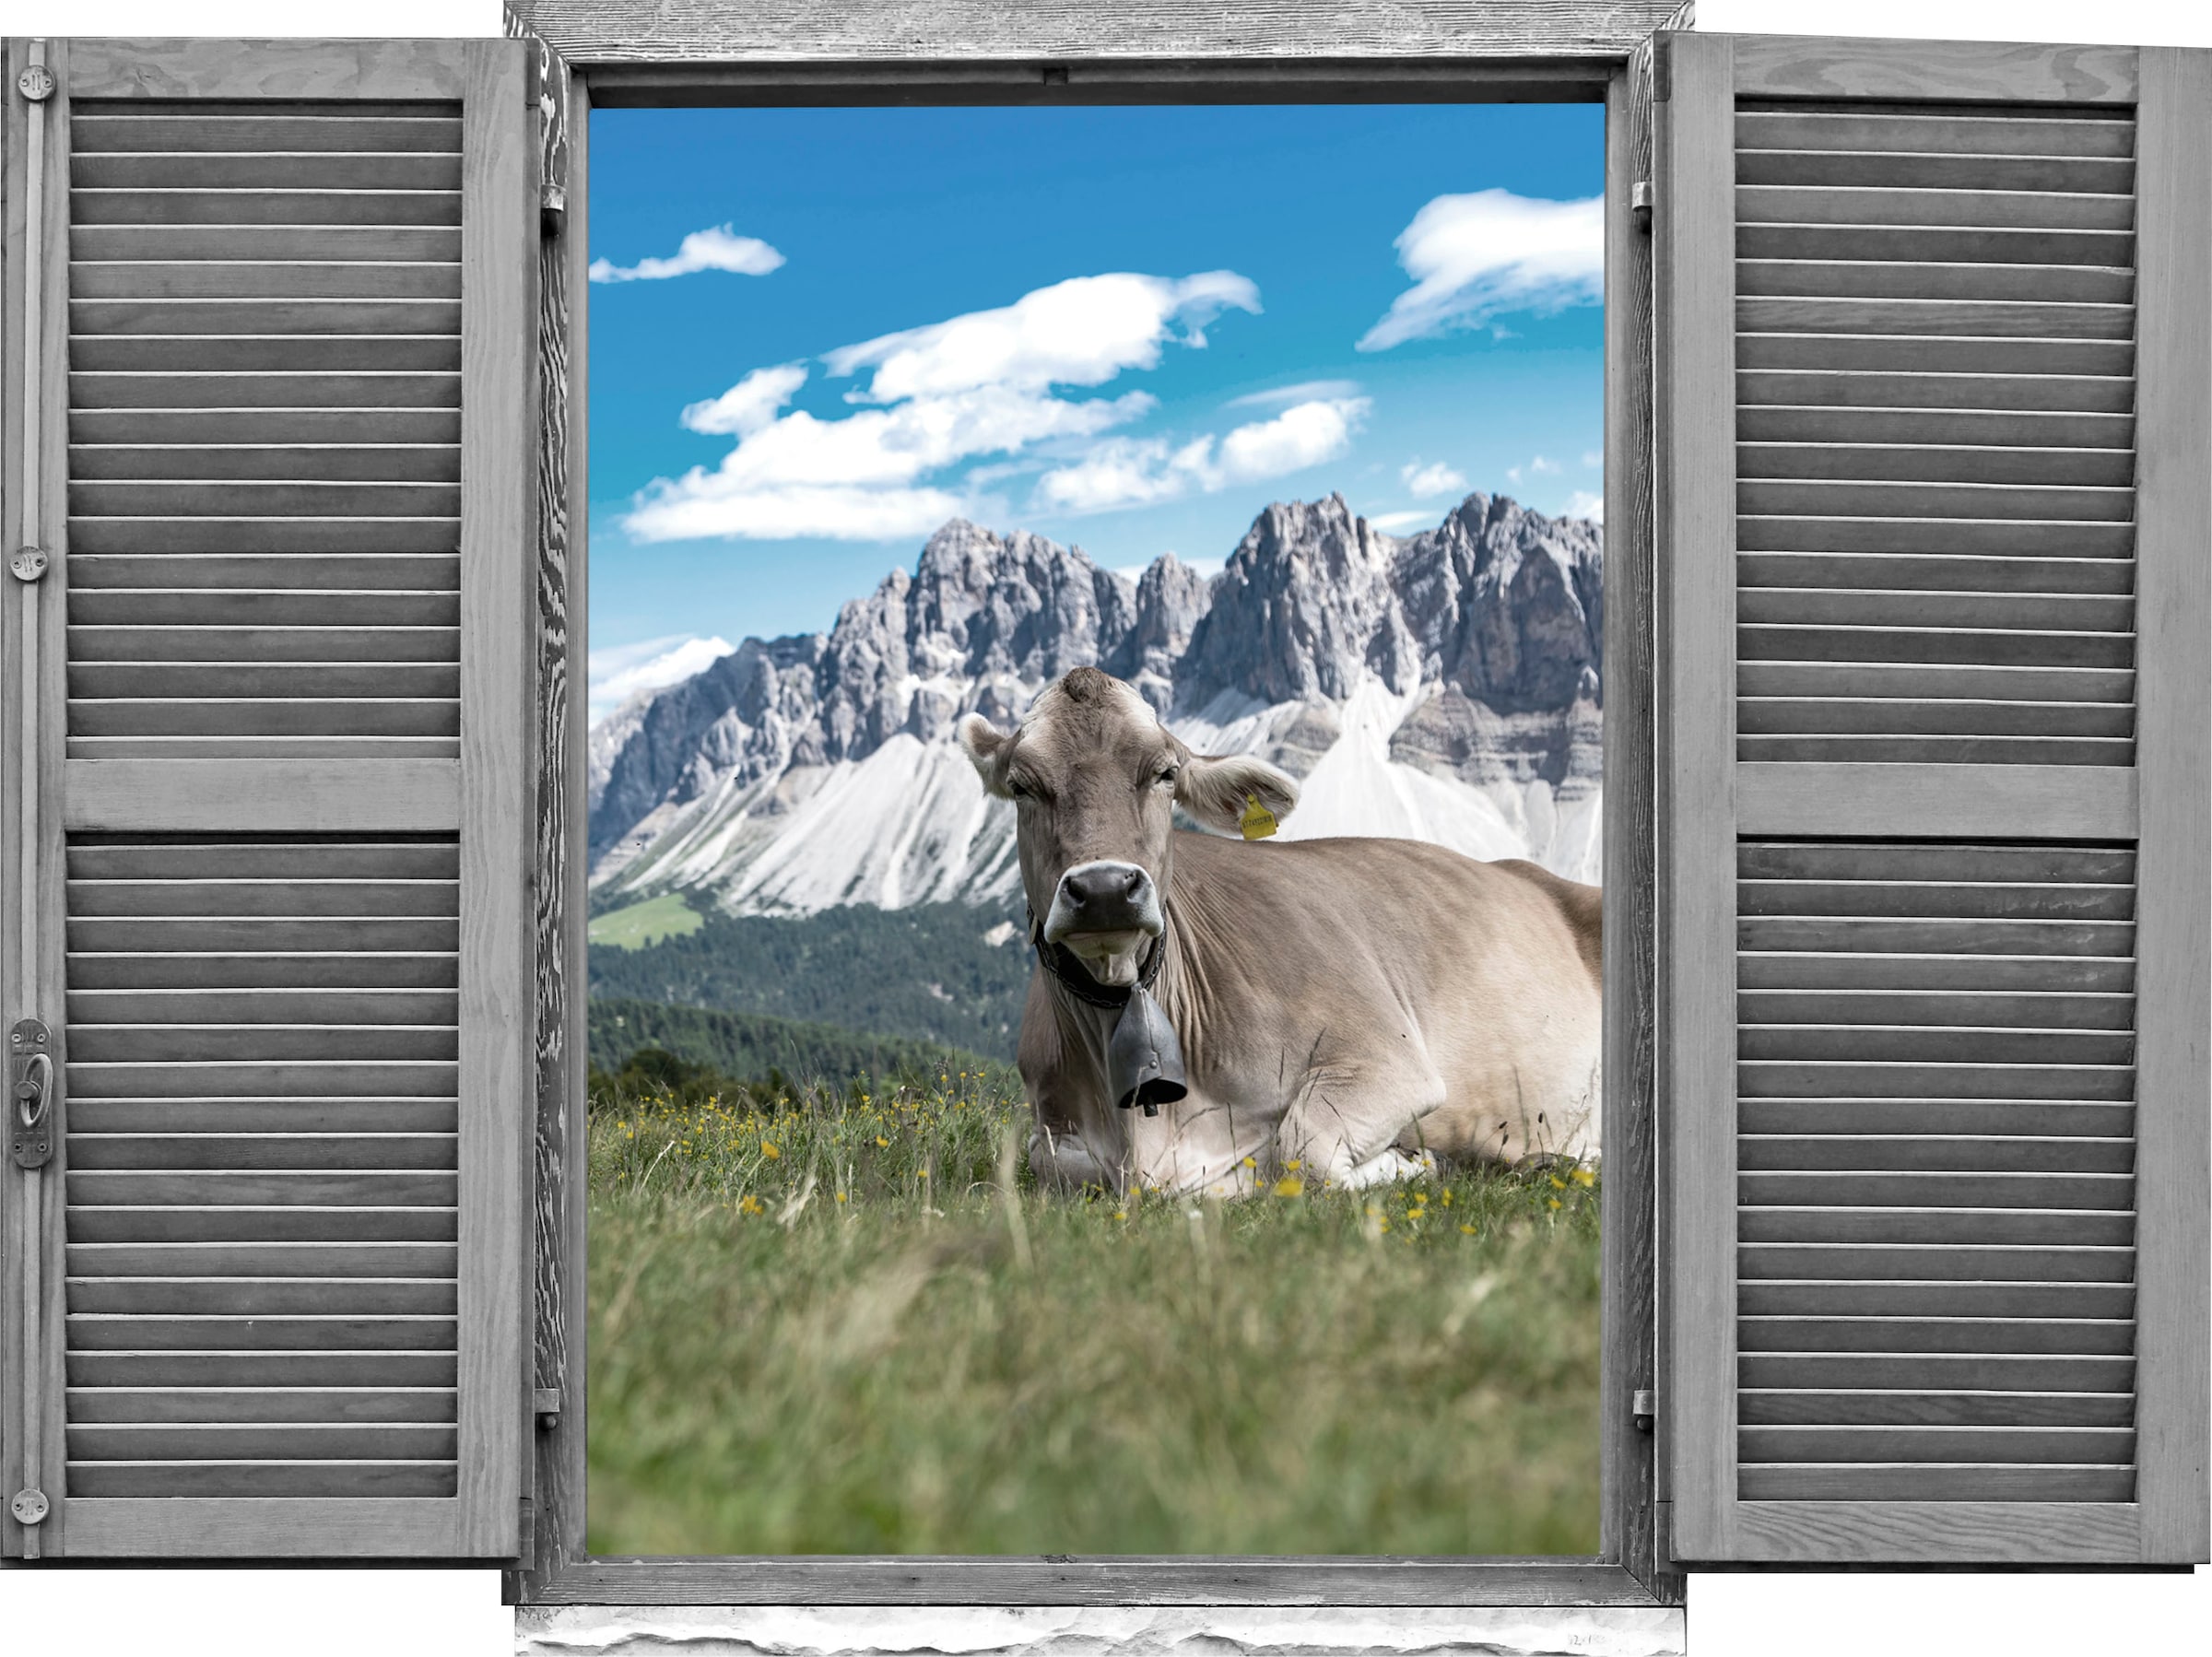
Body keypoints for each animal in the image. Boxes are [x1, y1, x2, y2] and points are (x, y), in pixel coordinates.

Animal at [957, 666, 1602, 1198]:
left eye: (1165, 773)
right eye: (1022, 785)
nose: (1106, 888)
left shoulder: (1388, 1058)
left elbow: (1302, 1150)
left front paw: (1415, 1161)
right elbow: (1048, 1162)